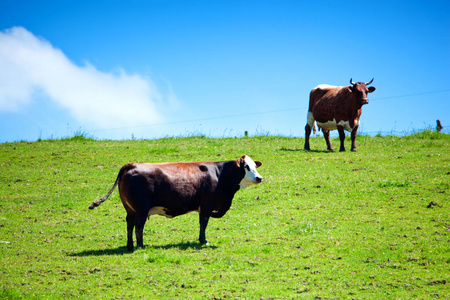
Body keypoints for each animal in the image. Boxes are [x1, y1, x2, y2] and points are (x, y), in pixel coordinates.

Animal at [88, 154, 262, 250]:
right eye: (246, 166)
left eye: (255, 165)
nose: (259, 178)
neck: (219, 175)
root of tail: (130, 165)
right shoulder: (206, 205)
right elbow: (203, 223)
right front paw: (203, 240)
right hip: (141, 210)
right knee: (138, 226)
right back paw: (140, 245)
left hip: (130, 210)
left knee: (130, 225)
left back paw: (130, 245)